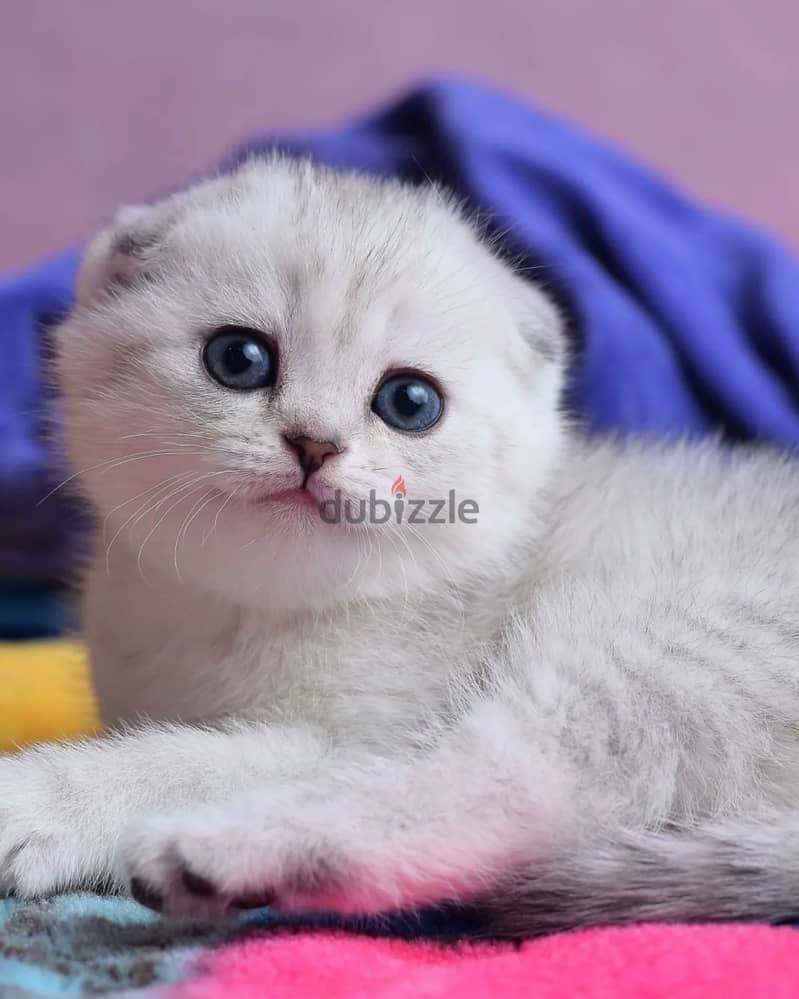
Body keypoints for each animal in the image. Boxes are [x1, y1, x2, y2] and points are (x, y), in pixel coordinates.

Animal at [1, 156, 799, 936]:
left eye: (410, 403)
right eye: (238, 358)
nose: (314, 443)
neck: (250, 611)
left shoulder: (368, 732)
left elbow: (196, 758)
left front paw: (39, 799)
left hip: (661, 637)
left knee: (520, 786)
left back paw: (219, 851)